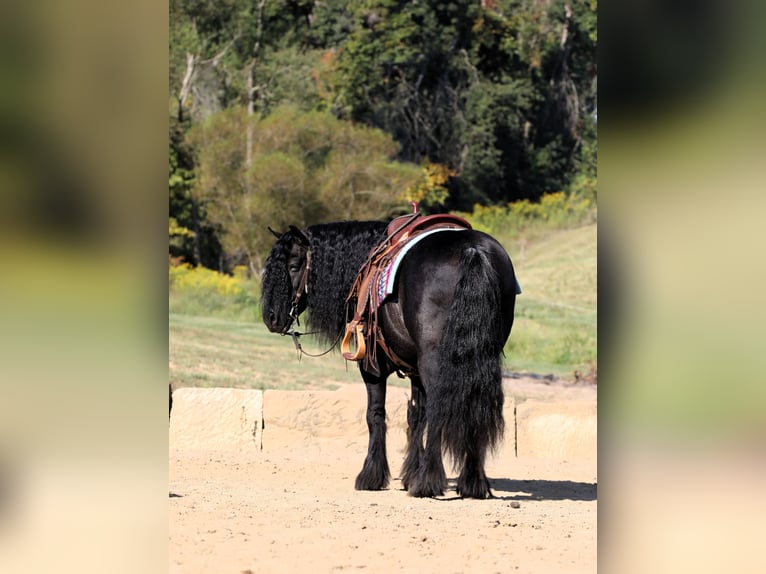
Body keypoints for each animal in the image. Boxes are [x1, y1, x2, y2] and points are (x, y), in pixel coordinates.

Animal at [260, 220, 520, 500]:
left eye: (293, 266)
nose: (270, 317)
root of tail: (473, 251)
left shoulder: (371, 366)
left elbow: (376, 415)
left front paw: (372, 476)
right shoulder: (416, 371)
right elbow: (417, 416)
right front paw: (410, 473)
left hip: (434, 361)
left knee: (440, 409)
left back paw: (427, 482)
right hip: (479, 357)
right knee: (476, 406)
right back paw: (472, 482)